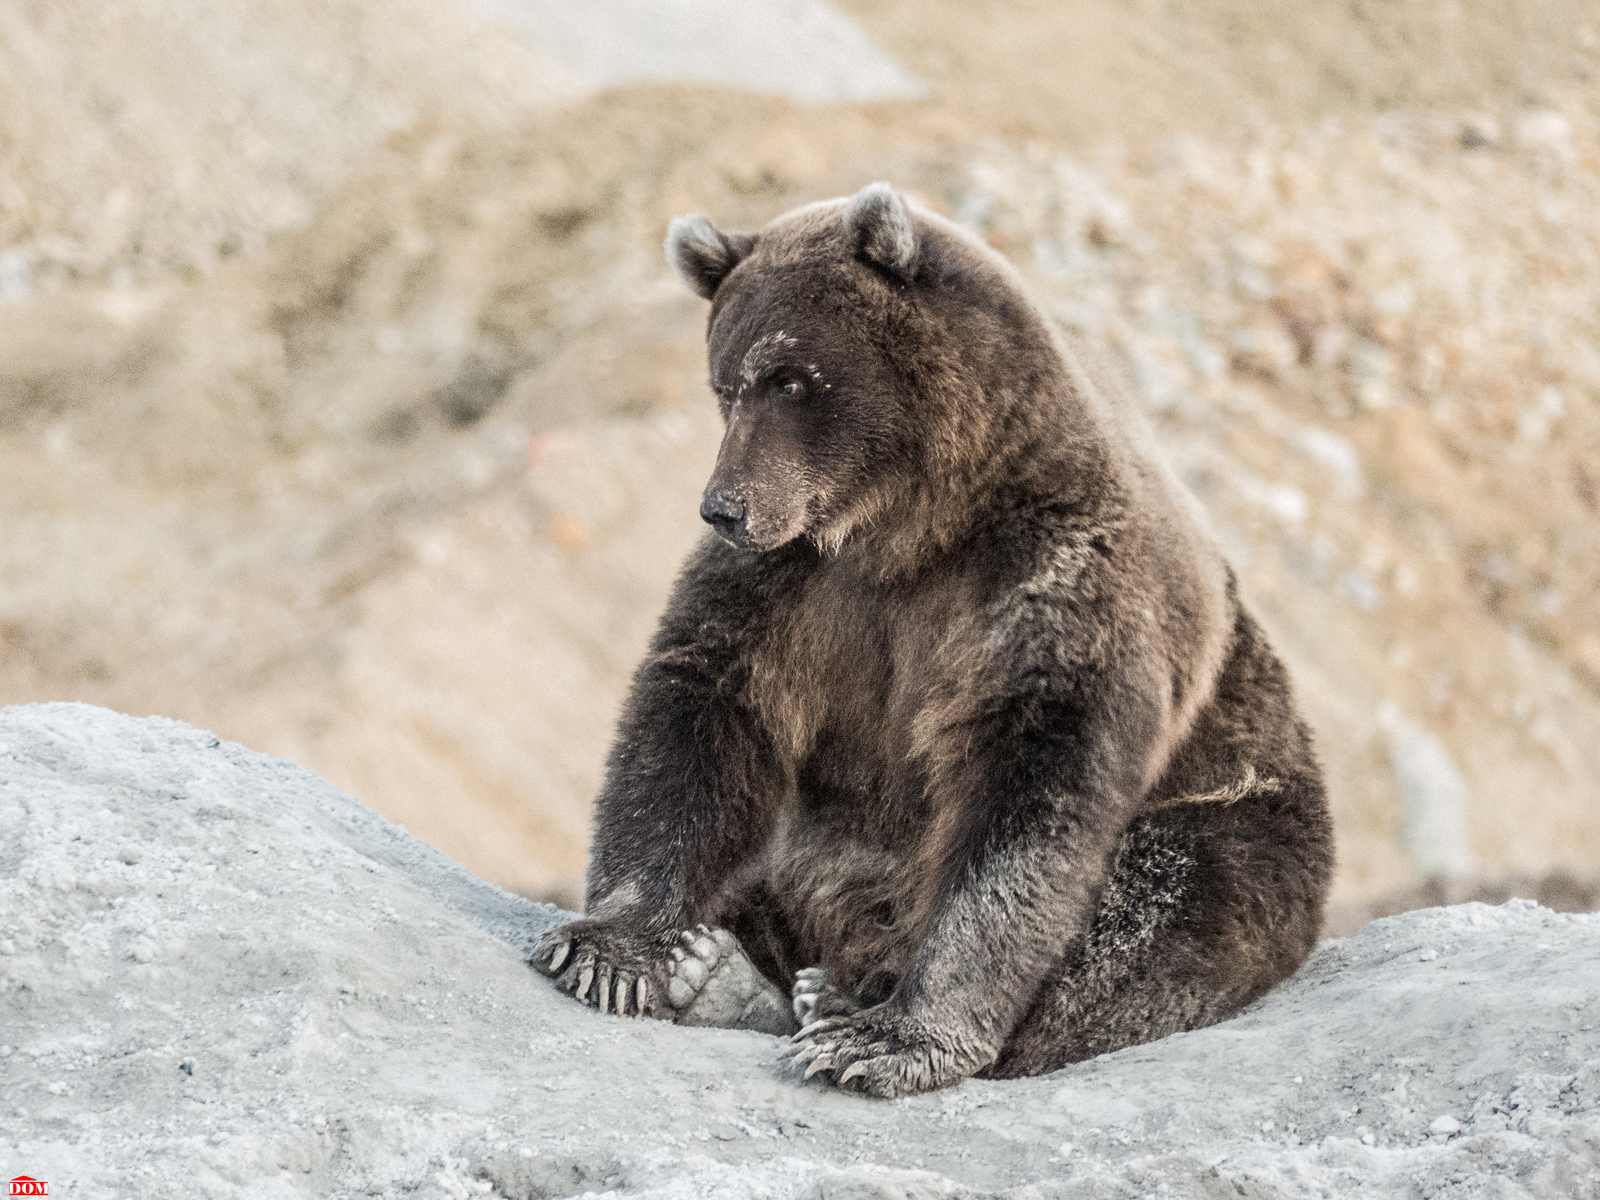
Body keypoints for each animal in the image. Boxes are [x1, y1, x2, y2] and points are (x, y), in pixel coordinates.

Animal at [531, 180, 1331, 1100]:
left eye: (790, 376)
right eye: (724, 386)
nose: (722, 507)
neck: (916, 526)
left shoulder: (1060, 592)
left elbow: (1027, 808)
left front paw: (891, 1038)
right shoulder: (792, 586)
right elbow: (699, 715)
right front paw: (612, 947)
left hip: (1253, 815)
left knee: (1165, 900)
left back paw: (832, 998)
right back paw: (730, 974)